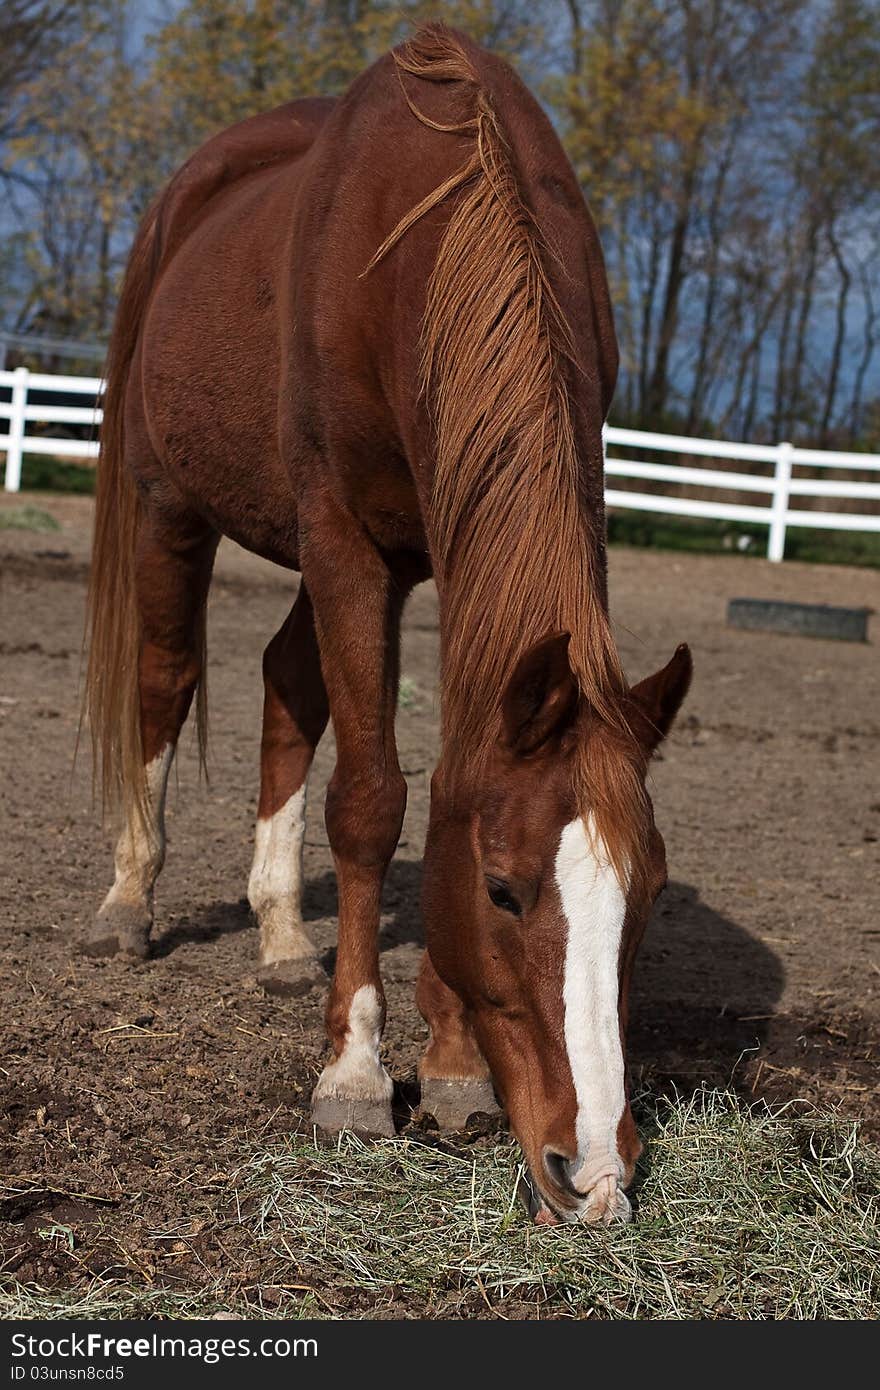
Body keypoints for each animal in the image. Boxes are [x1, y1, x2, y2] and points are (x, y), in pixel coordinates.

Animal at [82, 27, 689, 1228]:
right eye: (501, 889)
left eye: (645, 894)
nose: (594, 1171)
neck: (428, 239)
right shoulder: (345, 538)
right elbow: (370, 802)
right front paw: (356, 1074)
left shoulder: (440, 552)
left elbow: (439, 778)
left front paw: (450, 1068)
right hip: (172, 505)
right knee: (166, 680)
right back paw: (129, 903)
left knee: (287, 684)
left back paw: (279, 933)